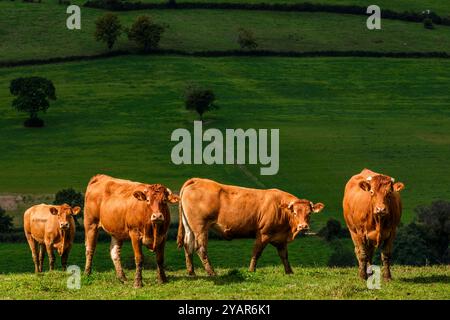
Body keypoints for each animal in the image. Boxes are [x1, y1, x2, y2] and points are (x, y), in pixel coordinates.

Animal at [176, 179, 324, 276]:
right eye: (294, 212)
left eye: (309, 213)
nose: (303, 226)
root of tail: (197, 180)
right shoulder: (263, 234)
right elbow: (256, 253)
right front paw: (251, 270)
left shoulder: (280, 238)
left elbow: (284, 256)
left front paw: (289, 272)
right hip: (200, 227)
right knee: (200, 248)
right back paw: (212, 273)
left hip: (189, 227)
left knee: (188, 245)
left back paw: (191, 272)